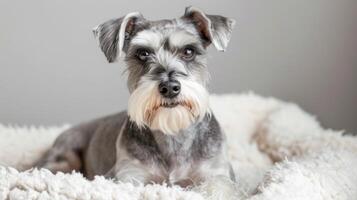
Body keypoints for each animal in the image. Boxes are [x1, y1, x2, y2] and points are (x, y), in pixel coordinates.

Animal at [36, 6, 235, 188]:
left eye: (188, 51)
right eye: (143, 53)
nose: (170, 88)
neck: (172, 133)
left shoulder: (216, 173)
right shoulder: (127, 175)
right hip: (62, 159)